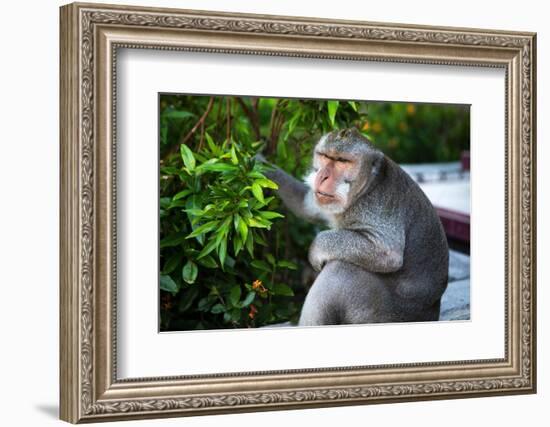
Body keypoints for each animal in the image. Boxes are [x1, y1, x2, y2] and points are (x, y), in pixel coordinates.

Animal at [262, 129, 448, 326]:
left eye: (342, 161)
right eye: (325, 156)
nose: (322, 176)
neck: (365, 189)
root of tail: (432, 313)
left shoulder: (375, 207)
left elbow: (388, 253)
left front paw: (316, 249)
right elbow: (306, 205)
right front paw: (260, 163)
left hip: (381, 314)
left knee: (340, 270)